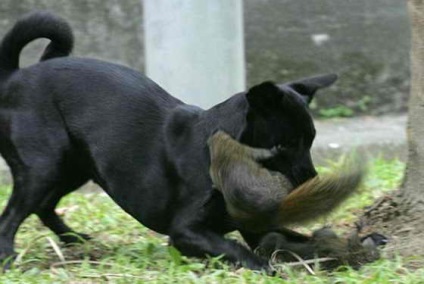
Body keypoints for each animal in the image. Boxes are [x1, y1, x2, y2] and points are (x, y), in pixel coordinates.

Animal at [0, 12, 338, 270]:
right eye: (283, 146)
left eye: (310, 141)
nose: (312, 180)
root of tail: (13, 77)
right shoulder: (186, 231)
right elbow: (236, 249)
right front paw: (266, 268)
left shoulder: (253, 226)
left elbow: (290, 239)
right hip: (44, 168)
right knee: (10, 218)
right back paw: (9, 259)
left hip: (73, 168)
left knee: (44, 206)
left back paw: (73, 239)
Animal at [207, 131, 366, 233]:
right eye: (228, 136)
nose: (217, 132)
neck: (223, 152)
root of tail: (274, 209)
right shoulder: (246, 150)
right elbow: (263, 153)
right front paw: (277, 149)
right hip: (279, 178)